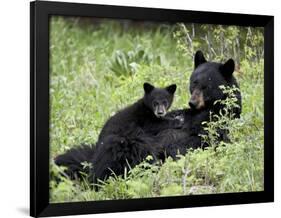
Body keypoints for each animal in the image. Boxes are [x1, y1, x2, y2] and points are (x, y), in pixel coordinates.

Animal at [54, 82, 182, 181]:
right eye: (155, 102)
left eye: (165, 102)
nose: (160, 112)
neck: (148, 109)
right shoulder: (144, 119)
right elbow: (155, 124)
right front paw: (177, 120)